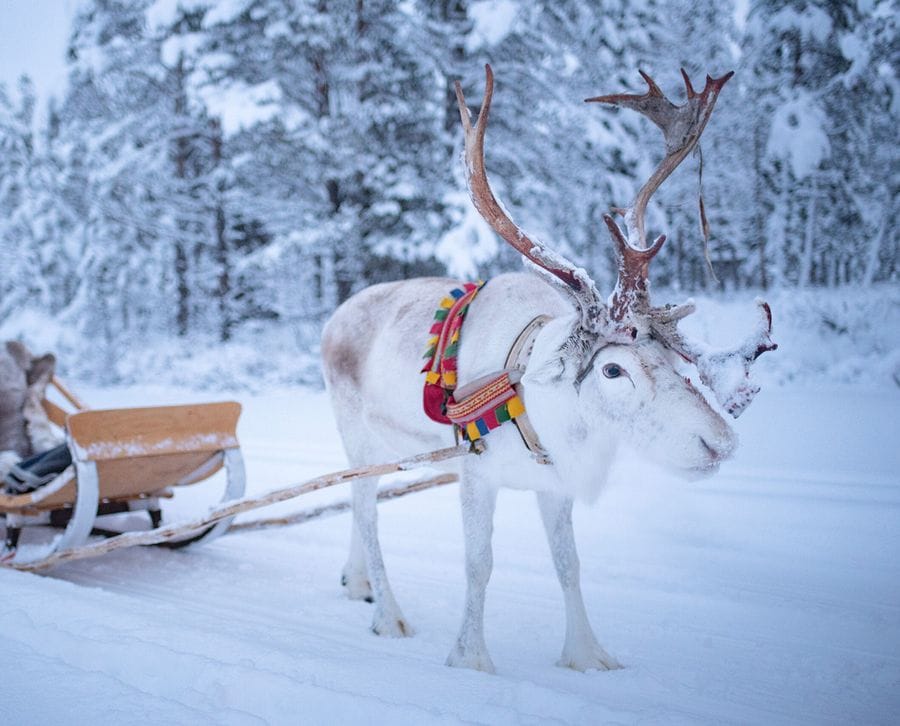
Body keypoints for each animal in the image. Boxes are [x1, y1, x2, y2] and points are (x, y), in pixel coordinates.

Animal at [321, 65, 776, 673]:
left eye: (672, 357)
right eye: (613, 370)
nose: (721, 443)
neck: (535, 404)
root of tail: (334, 318)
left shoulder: (556, 485)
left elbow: (568, 564)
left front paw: (587, 654)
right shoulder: (475, 473)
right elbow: (479, 565)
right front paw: (470, 657)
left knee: (354, 503)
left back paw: (357, 583)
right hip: (356, 434)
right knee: (368, 516)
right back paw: (390, 616)